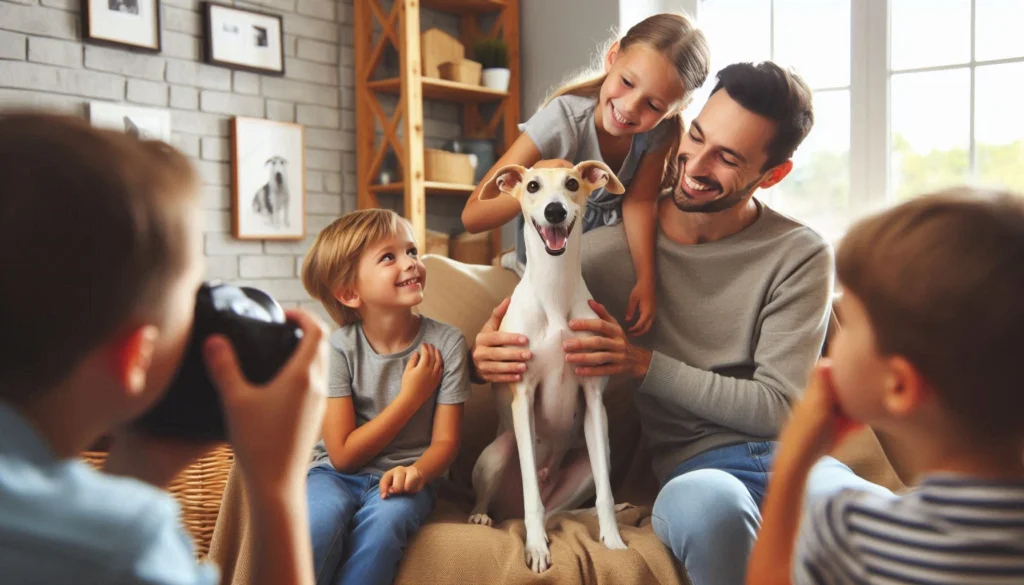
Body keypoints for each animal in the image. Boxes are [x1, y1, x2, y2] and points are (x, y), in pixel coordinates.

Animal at [468, 158, 626, 573]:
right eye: (533, 186)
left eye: (572, 183)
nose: (554, 211)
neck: (555, 290)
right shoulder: (522, 397)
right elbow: (531, 496)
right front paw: (536, 547)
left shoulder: (593, 401)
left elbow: (604, 492)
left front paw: (614, 539)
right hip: (498, 452)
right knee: (509, 498)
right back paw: (482, 515)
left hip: (586, 465)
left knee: (560, 507)